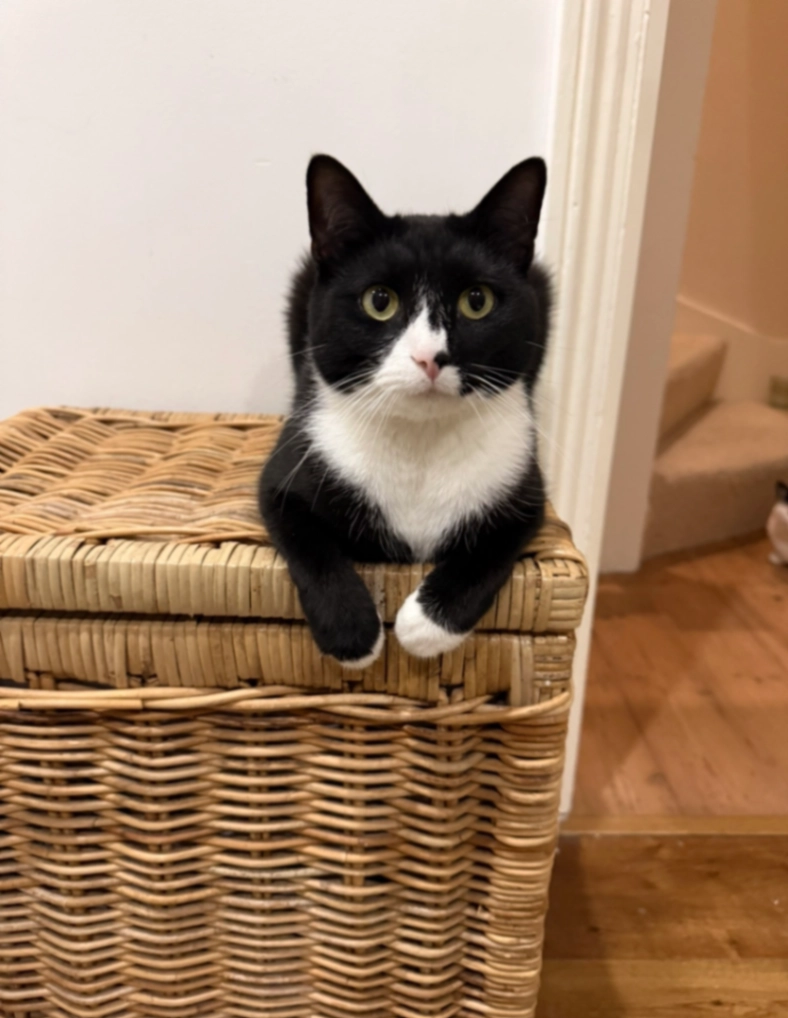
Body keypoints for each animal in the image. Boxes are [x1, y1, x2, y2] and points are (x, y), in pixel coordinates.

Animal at [259, 154, 550, 667]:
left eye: (477, 301)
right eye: (380, 301)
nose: (429, 357)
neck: (420, 443)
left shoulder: (526, 490)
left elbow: (493, 549)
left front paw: (423, 626)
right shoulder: (287, 471)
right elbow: (307, 542)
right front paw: (352, 632)